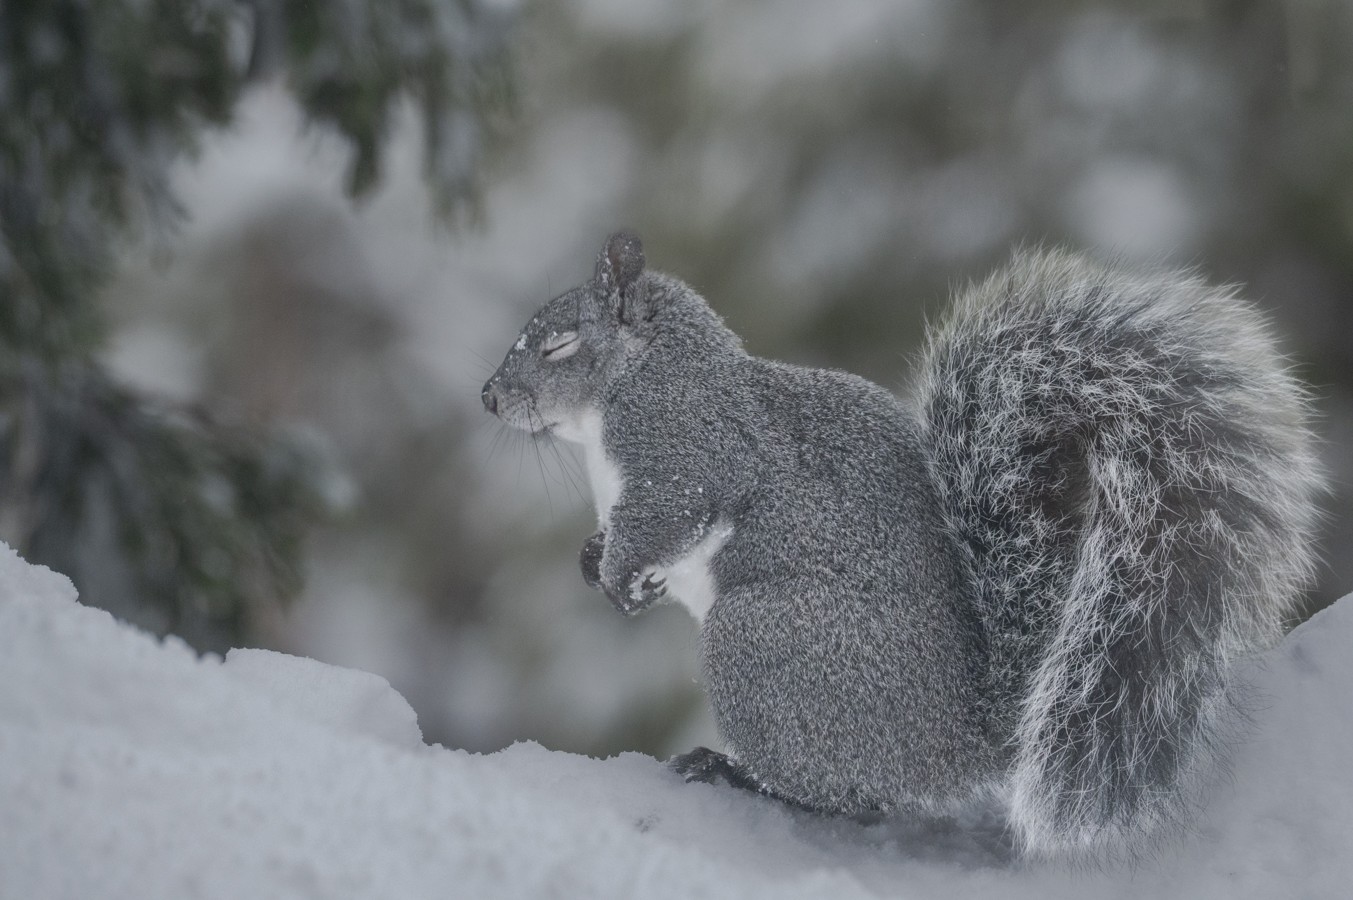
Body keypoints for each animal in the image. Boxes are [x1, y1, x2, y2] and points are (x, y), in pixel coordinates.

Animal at [481, 231, 1322, 860]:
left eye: (558, 345)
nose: (489, 398)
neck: (639, 375)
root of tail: (970, 737)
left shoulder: (683, 451)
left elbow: (667, 513)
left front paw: (619, 577)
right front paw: (595, 560)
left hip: (757, 648)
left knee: (838, 795)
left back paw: (735, 774)